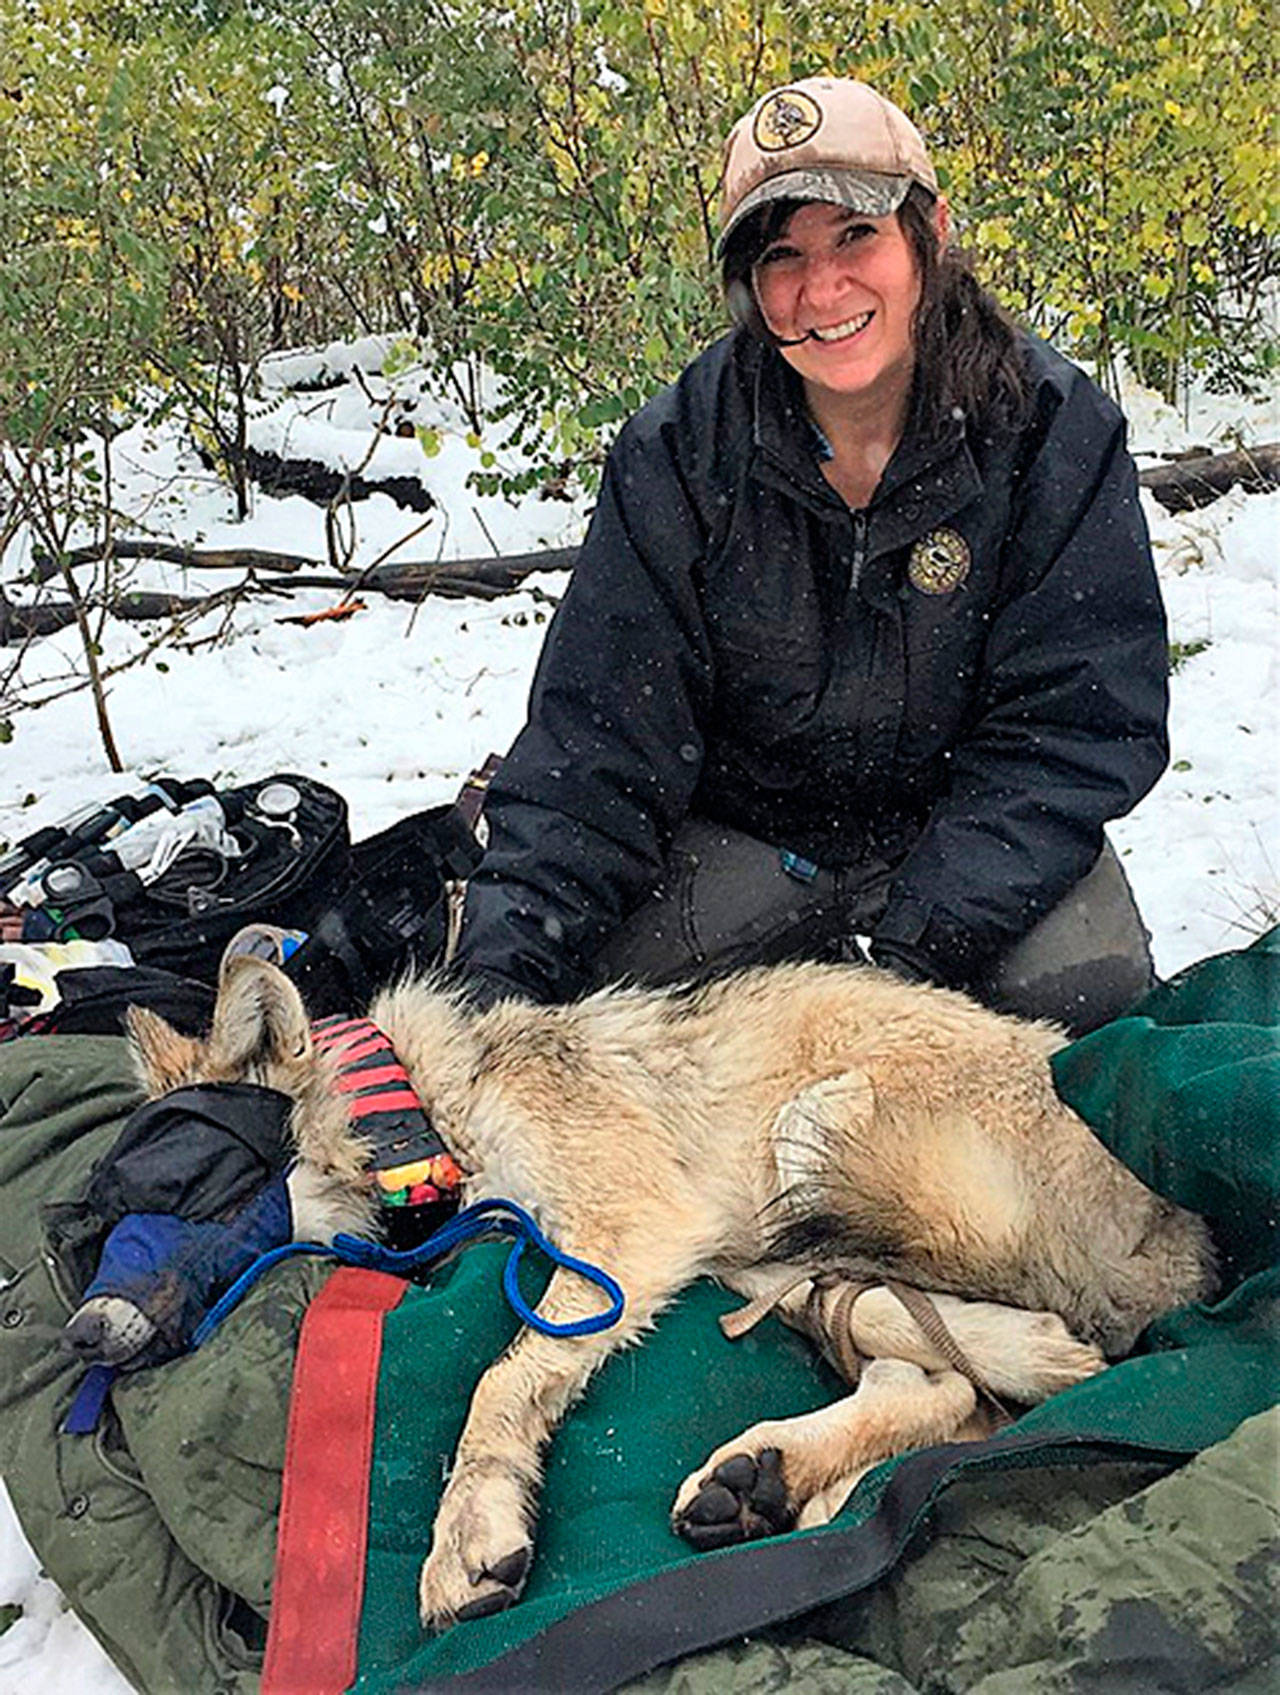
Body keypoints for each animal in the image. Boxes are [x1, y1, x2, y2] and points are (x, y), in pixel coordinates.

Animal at [127, 953, 1216, 1631]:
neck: (431, 1119)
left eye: (195, 1183)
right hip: (770, 1232)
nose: (95, 1338)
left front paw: (468, 1534)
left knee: (978, 1341)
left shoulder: (630, 1236)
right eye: (106, 1221)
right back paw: (781, 1479)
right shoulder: (655, 1248)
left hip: (811, 1144)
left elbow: (496, 1381)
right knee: (927, 1363)